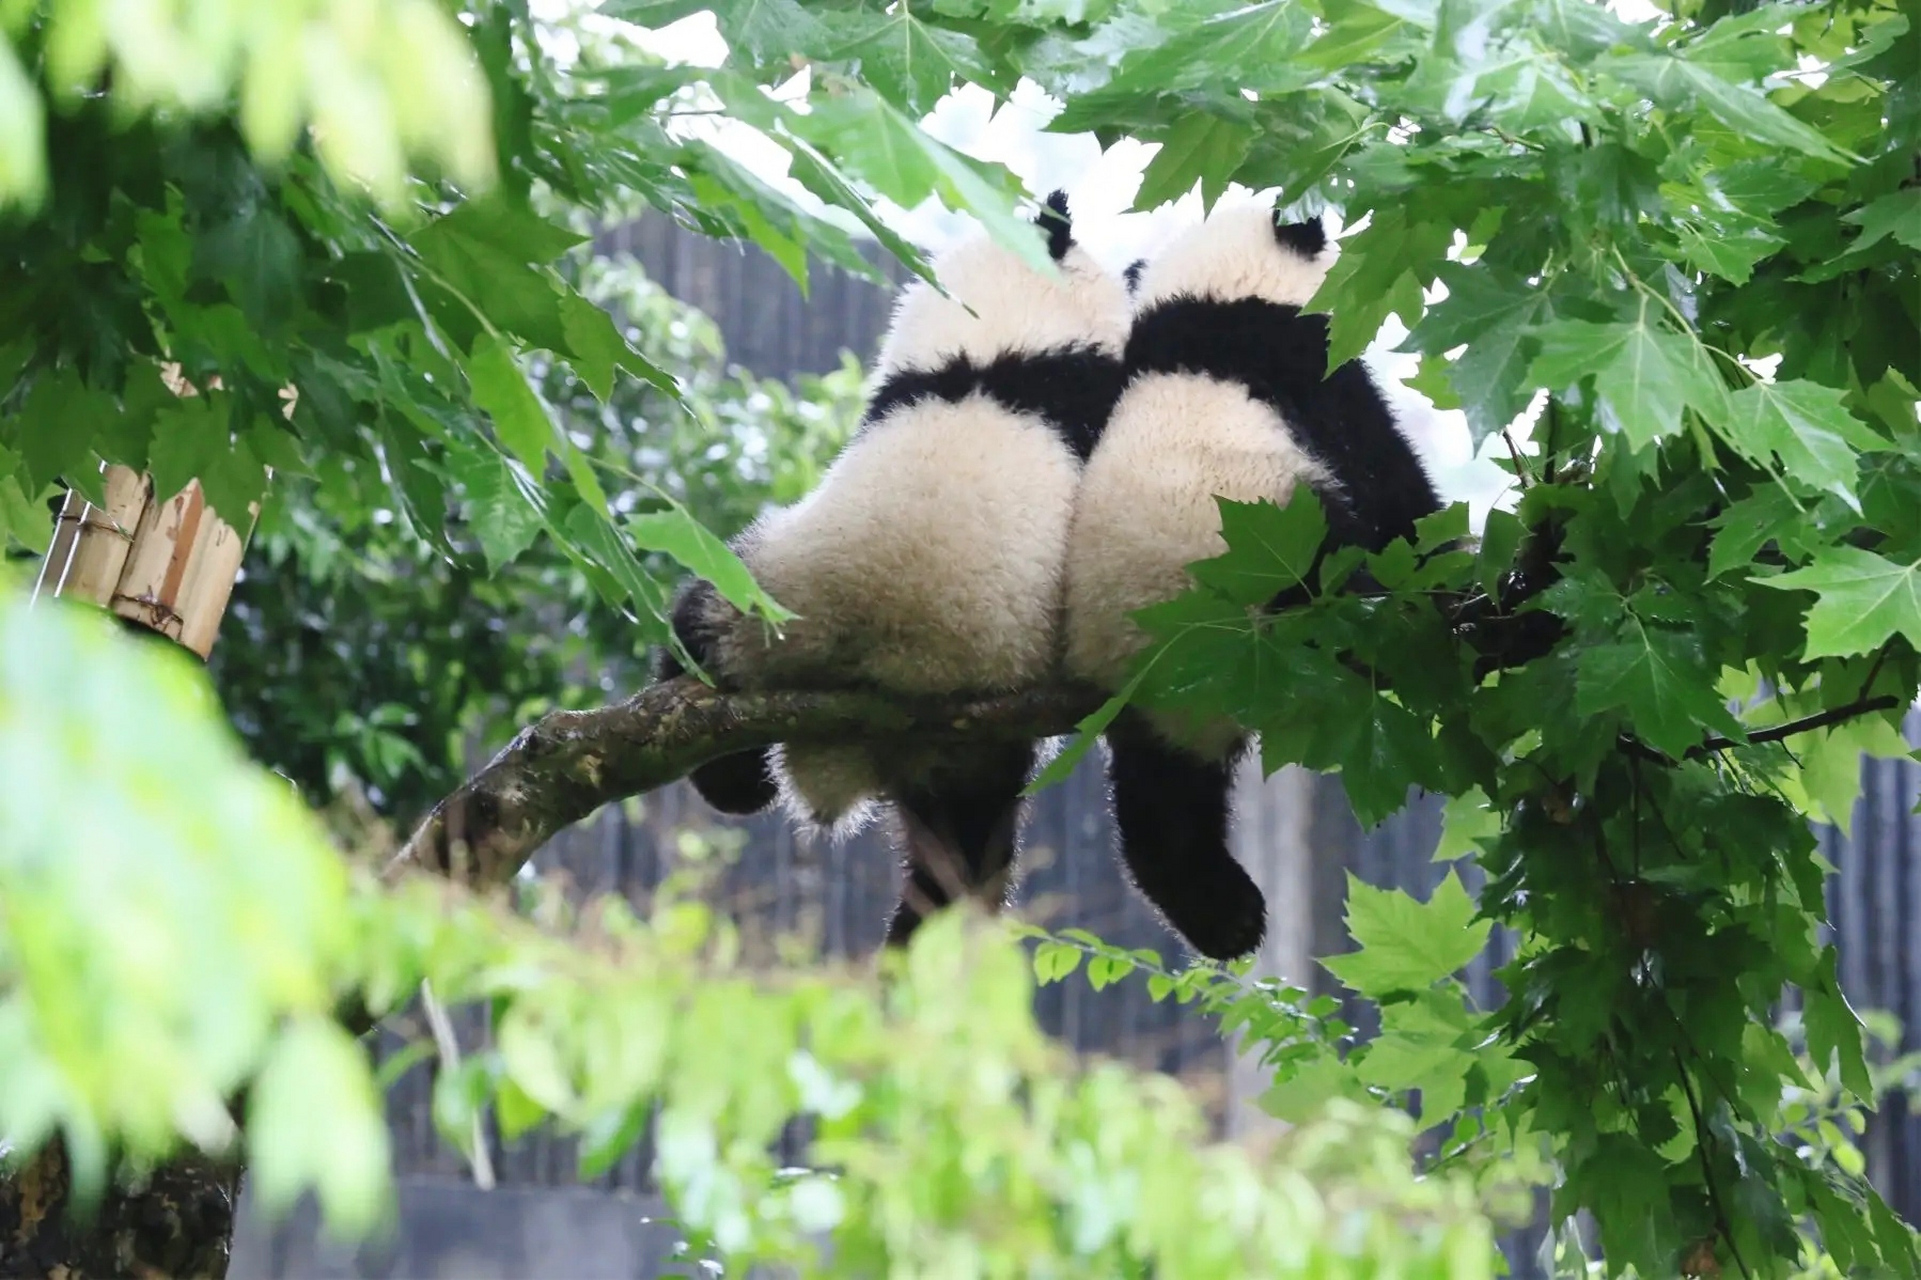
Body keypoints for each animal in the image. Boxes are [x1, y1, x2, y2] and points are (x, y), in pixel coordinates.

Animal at [1068, 196, 1444, 957]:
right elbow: (1394, 493)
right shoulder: (1309, 372)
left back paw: (1222, 915)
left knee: (1165, 799)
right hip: (1293, 566)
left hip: (1141, 699)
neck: (1205, 296)